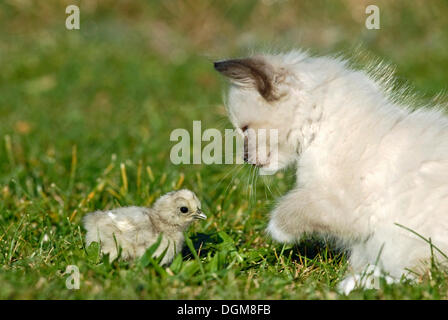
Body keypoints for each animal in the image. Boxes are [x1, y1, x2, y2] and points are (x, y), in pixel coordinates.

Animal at [214, 49, 448, 292]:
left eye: (244, 130)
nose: (245, 159)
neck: (321, 129)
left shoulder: (341, 205)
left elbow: (288, 209)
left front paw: (276, 232)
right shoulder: (356, 233)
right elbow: (357, 257)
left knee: (422, 279)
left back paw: (357, 284)